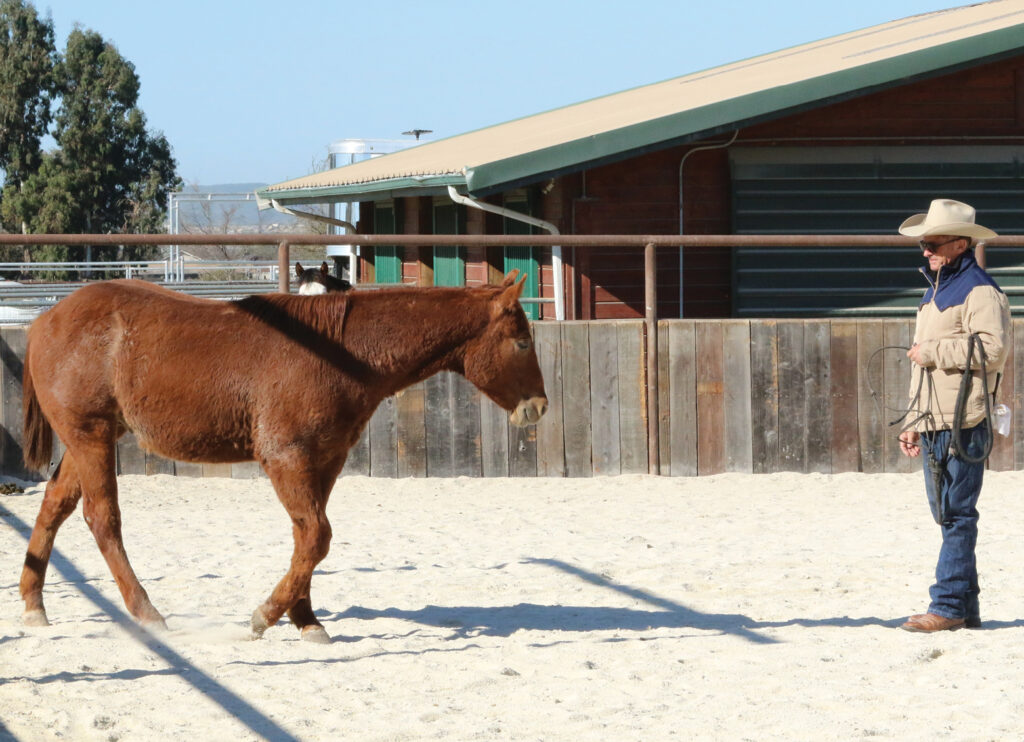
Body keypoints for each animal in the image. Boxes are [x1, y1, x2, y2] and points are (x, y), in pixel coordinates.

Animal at [19, 272, 547, 643]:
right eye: (522, 341)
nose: (538, 407)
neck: (339, 352)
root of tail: (45, 321)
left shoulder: (324, 461)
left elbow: (307, 539)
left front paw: (306, 619)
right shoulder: (286, 459)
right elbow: (316, 536)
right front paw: (264, 617)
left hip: (90, 440)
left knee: (55, 507)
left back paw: (34, 605)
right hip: (90, 436)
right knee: (102, 518)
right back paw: (147, 613)